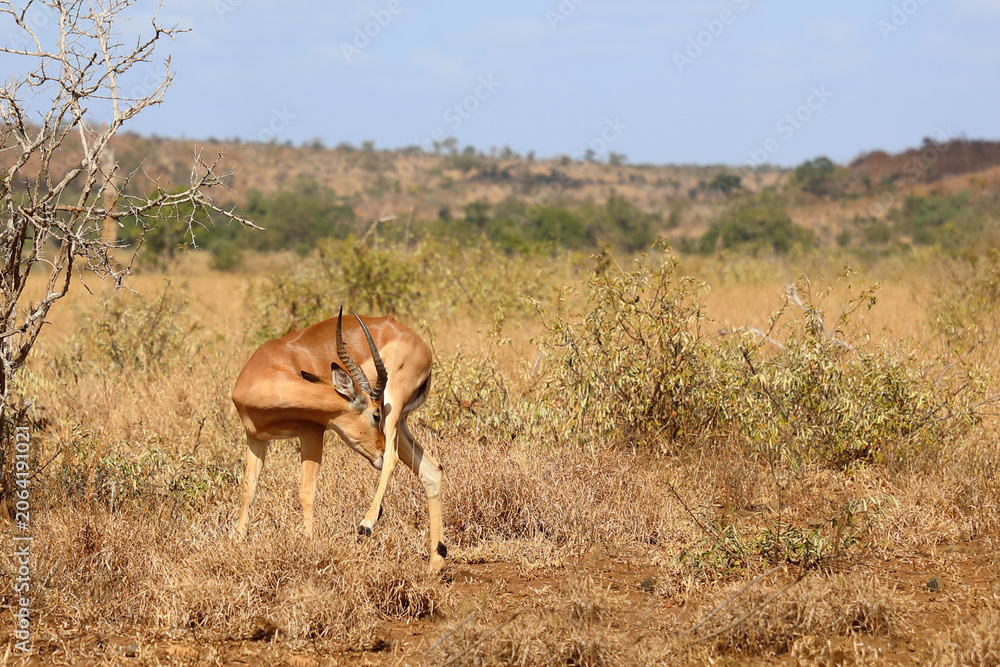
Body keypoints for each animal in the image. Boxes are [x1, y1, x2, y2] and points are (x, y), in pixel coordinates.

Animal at [231, 307, 446, 573]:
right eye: (373, 415)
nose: (379, 451)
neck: (269, 368)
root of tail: (419, 342)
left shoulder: (312, 431)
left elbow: (306, 492)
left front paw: (308, 544)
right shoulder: (255, 438)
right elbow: (248, 491)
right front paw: (238, 541)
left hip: (393, 405)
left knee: (393, 458)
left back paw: (367, 523)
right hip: (398, 421)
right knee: (431, 469)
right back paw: (436, 563)